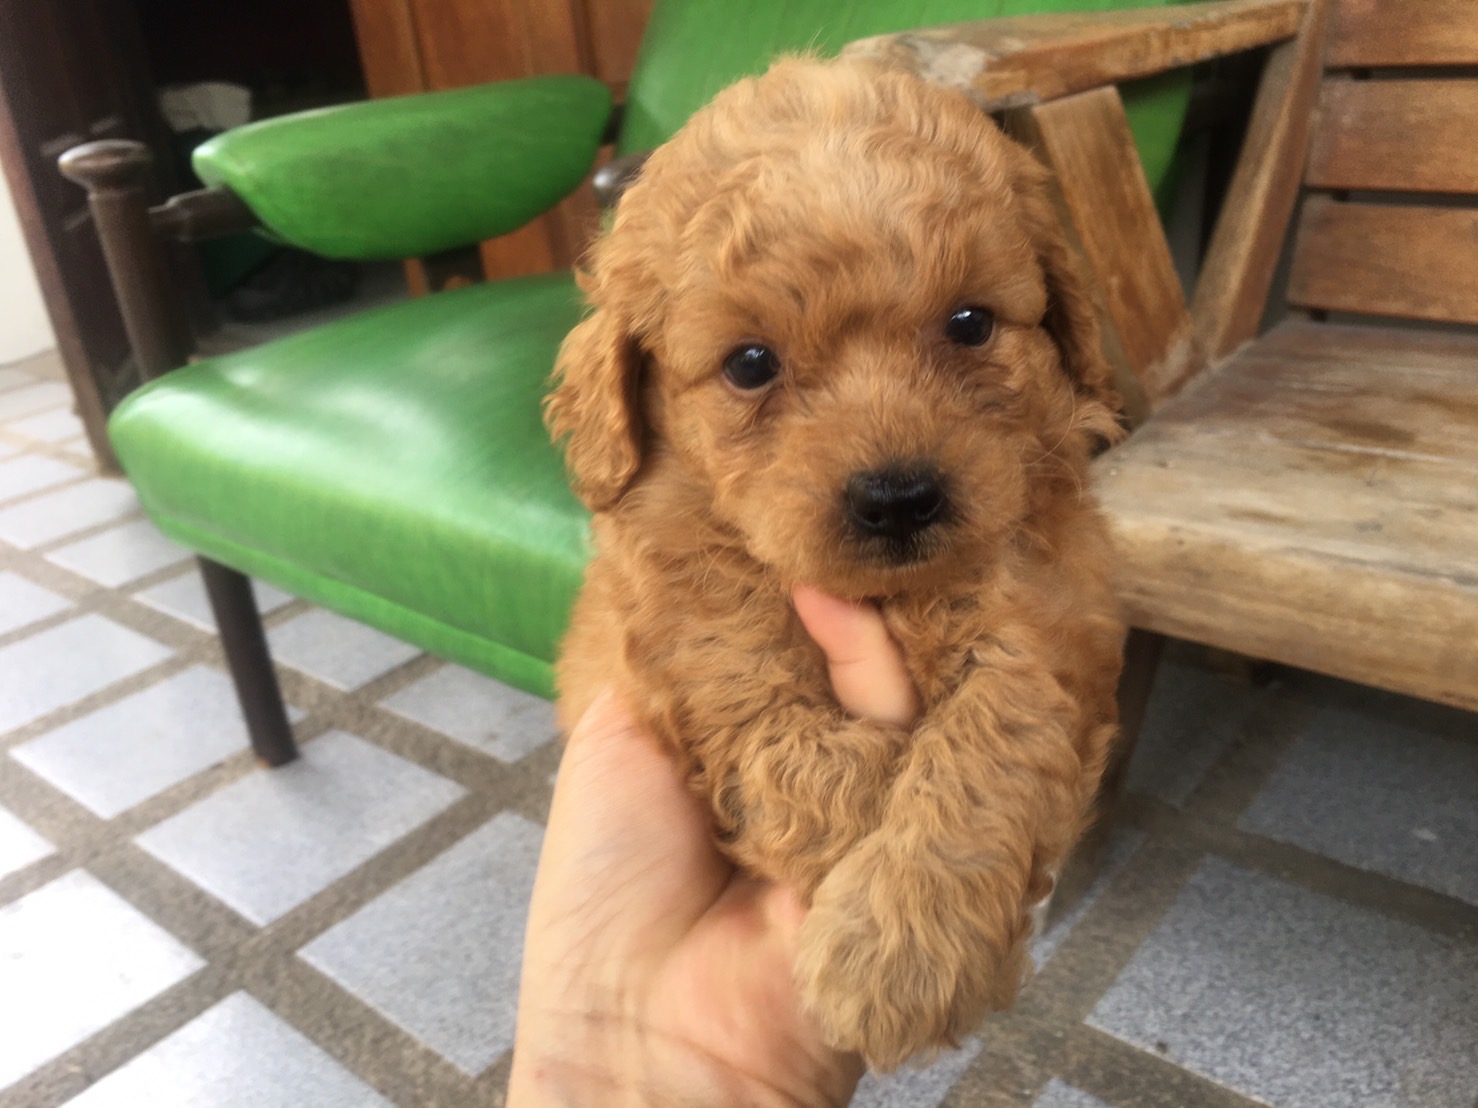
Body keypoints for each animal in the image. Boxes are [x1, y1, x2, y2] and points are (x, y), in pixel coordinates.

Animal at [545, 55, 1125, 1070]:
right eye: (749, 363)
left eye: (970, 323)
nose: (897, 498)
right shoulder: (670, 616)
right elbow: (756, 703)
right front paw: (858, 828)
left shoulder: (1053, 610)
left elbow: (993, 738)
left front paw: (903, 946)